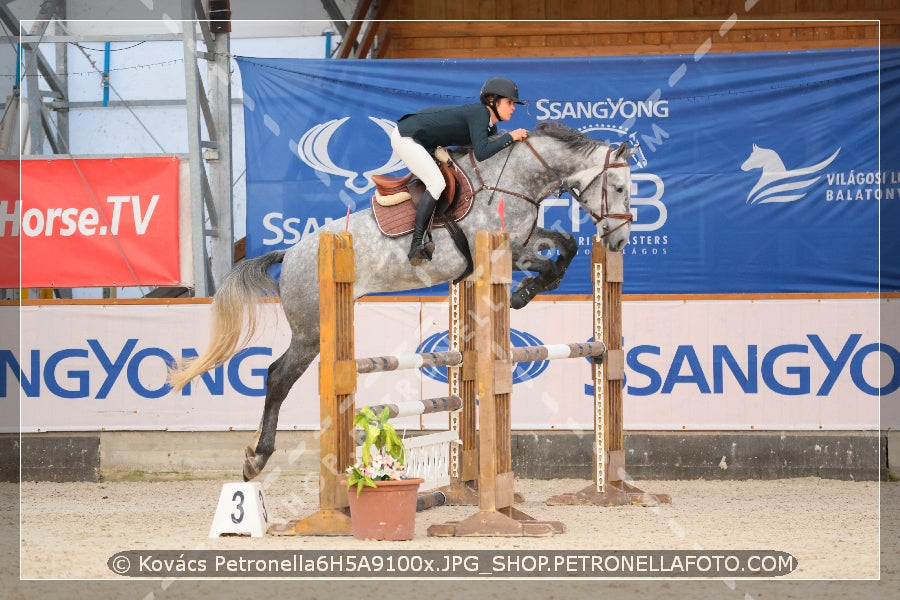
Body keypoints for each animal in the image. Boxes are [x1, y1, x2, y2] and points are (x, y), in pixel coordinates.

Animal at [167, 119, 632, 480]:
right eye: (620, 186)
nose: (620, 240)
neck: (514, 179)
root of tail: (293, 252)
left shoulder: (523, 239)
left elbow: (566, 244)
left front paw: (528, 291)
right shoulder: (506, 249)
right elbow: (548, 263)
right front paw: (521, 294)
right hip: (311, 332)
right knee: (278, 376)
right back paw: (256, 459)